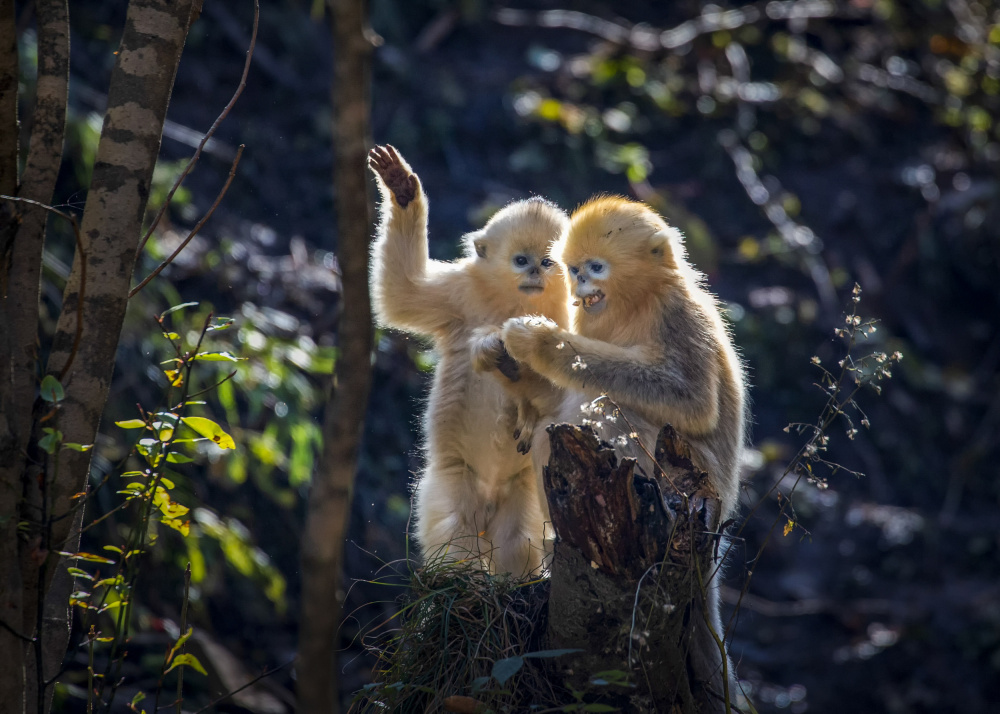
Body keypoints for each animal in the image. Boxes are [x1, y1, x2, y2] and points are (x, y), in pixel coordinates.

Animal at [368, 146, 572, 580]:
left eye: (547, 261)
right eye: (521, 260)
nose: (535, 271)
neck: (516, 304)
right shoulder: (458, 294)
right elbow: (401, 291)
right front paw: (402, 188)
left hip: (523, 493)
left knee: (517, 542)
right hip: (456, 481)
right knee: (455, 530)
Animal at [504, 193, 748, 684]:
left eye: (595, 268)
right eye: (574, 269)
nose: (580, 284)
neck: (637, 302)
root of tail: (722, 507)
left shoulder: (678, 316)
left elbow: (692, 401)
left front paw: (541, 344)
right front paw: (523, 393)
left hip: (689, 471)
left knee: (612, 410)